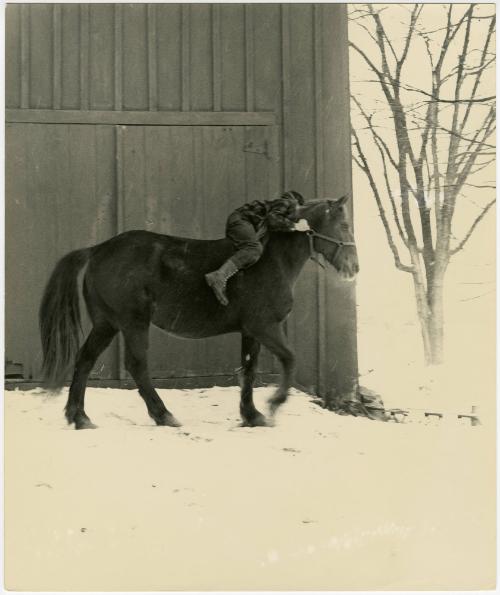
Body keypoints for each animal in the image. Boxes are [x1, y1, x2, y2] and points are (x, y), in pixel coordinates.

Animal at [40, 198, 360, 430]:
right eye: (344, 225)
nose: (353, 267)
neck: (271, 259)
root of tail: (98, 249)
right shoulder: (266, 327)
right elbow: (290, 359)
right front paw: (273, 404)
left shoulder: (250, 331)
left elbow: (248, 370)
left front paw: (252, 415)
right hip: (133, 322)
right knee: (136, 365)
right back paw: (163, 415)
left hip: (106, 324)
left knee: (85, 360)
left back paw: (79, 417)